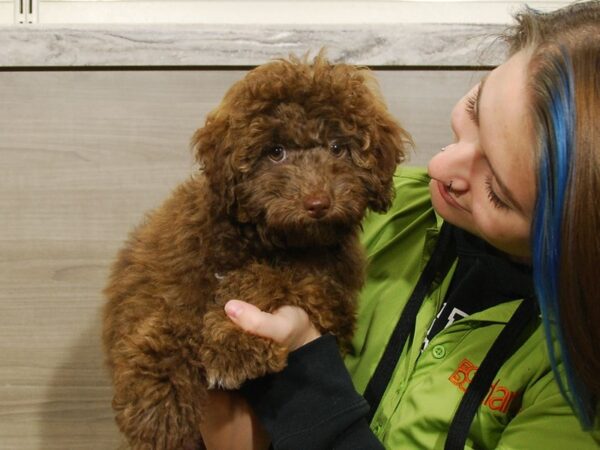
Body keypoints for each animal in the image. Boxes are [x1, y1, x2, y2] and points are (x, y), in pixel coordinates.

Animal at [104, 54, 412, 448]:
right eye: (276, 152)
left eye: (338, 147)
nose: (318, 203)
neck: (271, 240)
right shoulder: (172, 268)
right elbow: (171, 313)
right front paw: (159, 406)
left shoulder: (328, 291)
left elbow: (268, 279)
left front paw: (234, 347)